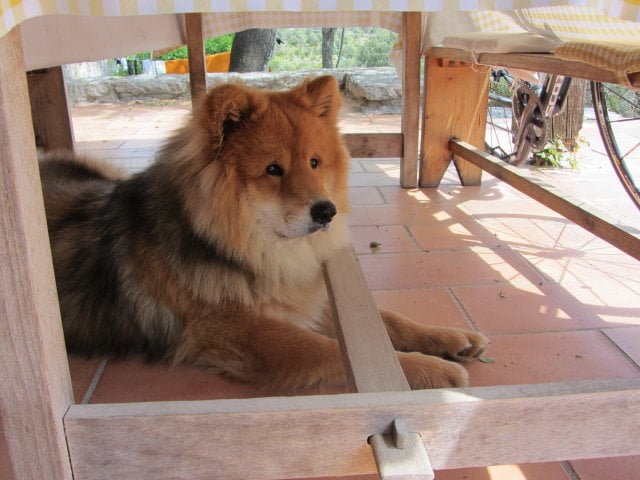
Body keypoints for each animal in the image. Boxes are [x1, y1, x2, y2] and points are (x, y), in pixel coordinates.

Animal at [40, 75, 488, 391]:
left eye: (314, 163)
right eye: (273, 169)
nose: (326, 210)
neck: (243, 246)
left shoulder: (294, 296)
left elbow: (387, 319)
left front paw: (446, 337)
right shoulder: (238, 330)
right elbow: (329, 350)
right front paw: (431, 370)